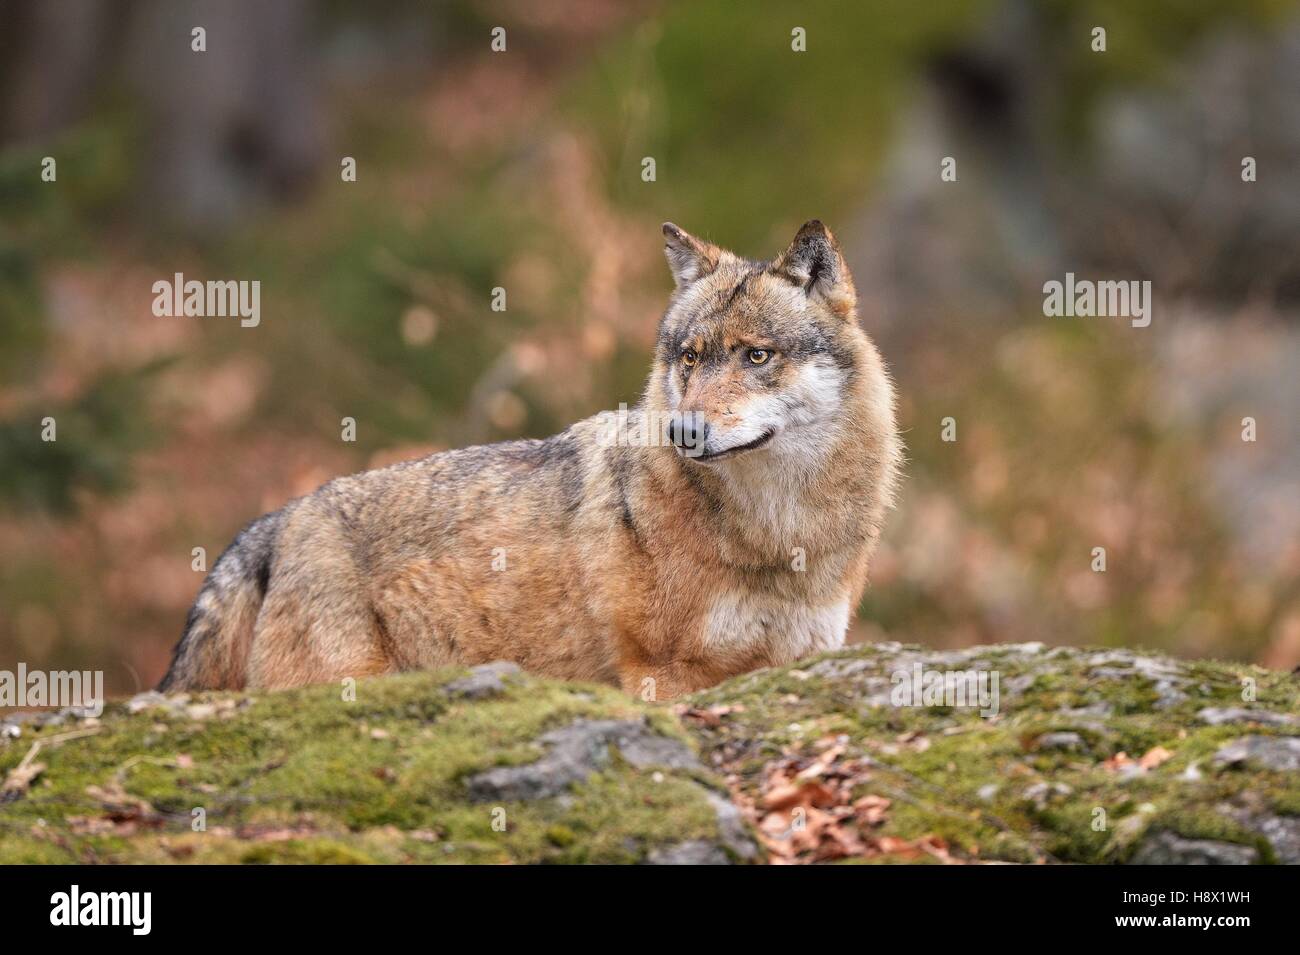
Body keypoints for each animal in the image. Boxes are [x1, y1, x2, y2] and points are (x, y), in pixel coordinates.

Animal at [160, 220, 902, 699]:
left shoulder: (794, 659)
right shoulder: (662, 674)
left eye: (756, 355)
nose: (685, 430)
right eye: (690, 359)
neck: (779, 534)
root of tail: (280, 518)